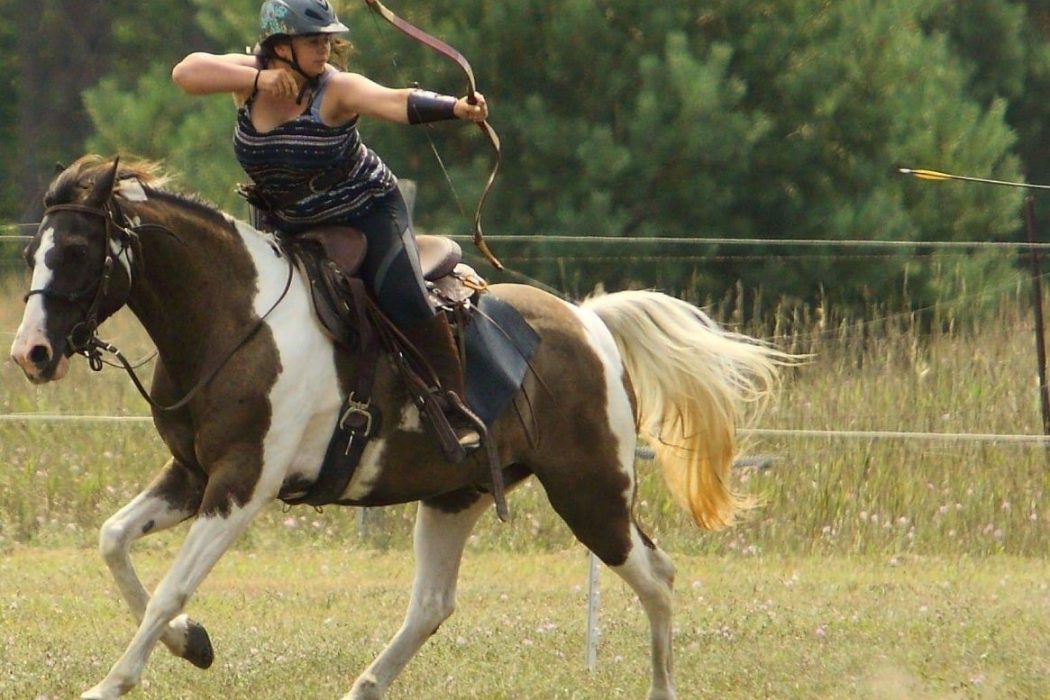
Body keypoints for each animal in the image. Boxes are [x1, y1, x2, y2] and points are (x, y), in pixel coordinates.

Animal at [10, 155, 789, 700]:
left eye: (76, 253)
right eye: (31, 254)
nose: (31, 353)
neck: (239, 319)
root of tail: (589, 321)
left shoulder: (241, 484)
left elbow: (173, 584)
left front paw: (112, 682)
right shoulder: (192, 474)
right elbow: (113, 540)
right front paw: (191, 643)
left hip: (590, 492)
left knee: (656, 576)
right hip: (457, 495)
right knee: (433, 604)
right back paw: (362, 687)